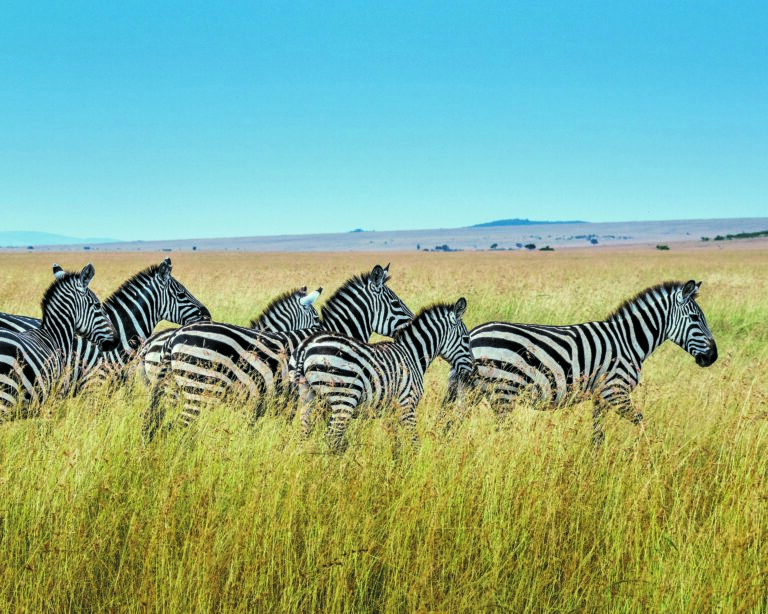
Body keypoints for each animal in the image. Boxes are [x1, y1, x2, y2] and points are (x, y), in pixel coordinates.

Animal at [295, 298, 473, 452]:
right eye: (465, 338)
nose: (472, 370)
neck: (412, 355)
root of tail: (307, 345)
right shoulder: (407, 405)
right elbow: (414, 442)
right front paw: (415, 464)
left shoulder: (391, 411)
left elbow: (395, 442)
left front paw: (396, 464)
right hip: (344, 399)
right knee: (331, 437)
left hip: (307, 397)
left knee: (304, 435)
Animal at [447, 280, 718, 446]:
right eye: (696, 318)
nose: (713, 356)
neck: (628, 340)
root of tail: (473, 334)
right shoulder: (615, 391)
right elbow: (641, 422)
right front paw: (649, 456)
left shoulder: (600, 396)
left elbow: (598, 435)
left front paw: (594, 466)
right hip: (503, 391)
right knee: (499, 434)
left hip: (470, 392)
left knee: (450, 425)